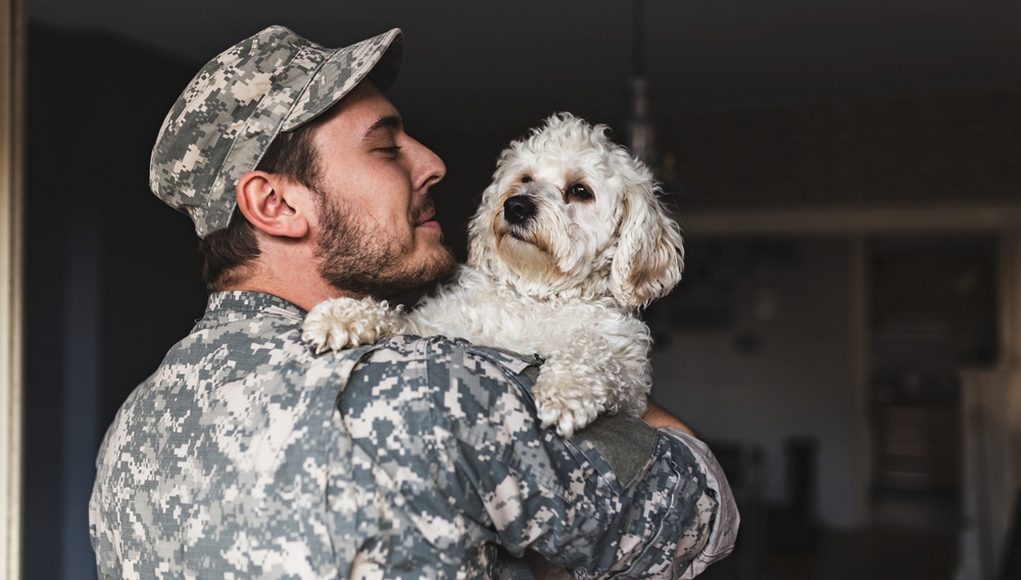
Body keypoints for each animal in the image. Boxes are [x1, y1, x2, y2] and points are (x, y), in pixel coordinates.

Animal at [304, 113, 686, 435]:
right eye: (526, 178)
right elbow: (402, 320)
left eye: (580, 191)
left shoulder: (630, 383)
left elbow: (594, 351)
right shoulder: (436, 328)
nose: (516, 206)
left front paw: (565, 388)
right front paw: (346, 316)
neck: (535, 294)